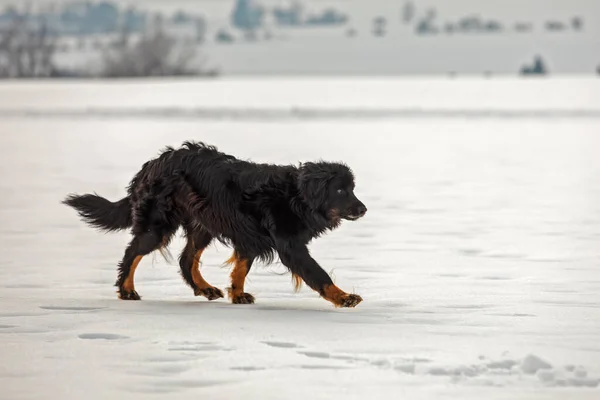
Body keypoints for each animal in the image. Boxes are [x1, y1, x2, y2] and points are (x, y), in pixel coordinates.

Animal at [63, 142, 368, 308]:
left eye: (352, 189)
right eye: (340, 191)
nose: (363, 209)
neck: (296, 196)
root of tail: (151, 165)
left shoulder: (249, 238)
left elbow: (240, 269)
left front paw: (237, 294)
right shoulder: (290, 246)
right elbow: (318, 274)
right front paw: (343, 297)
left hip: (202, 225)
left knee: (186, 260)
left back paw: (205, 288)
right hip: (157, 225)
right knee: (132, 253)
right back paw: (126, 289)